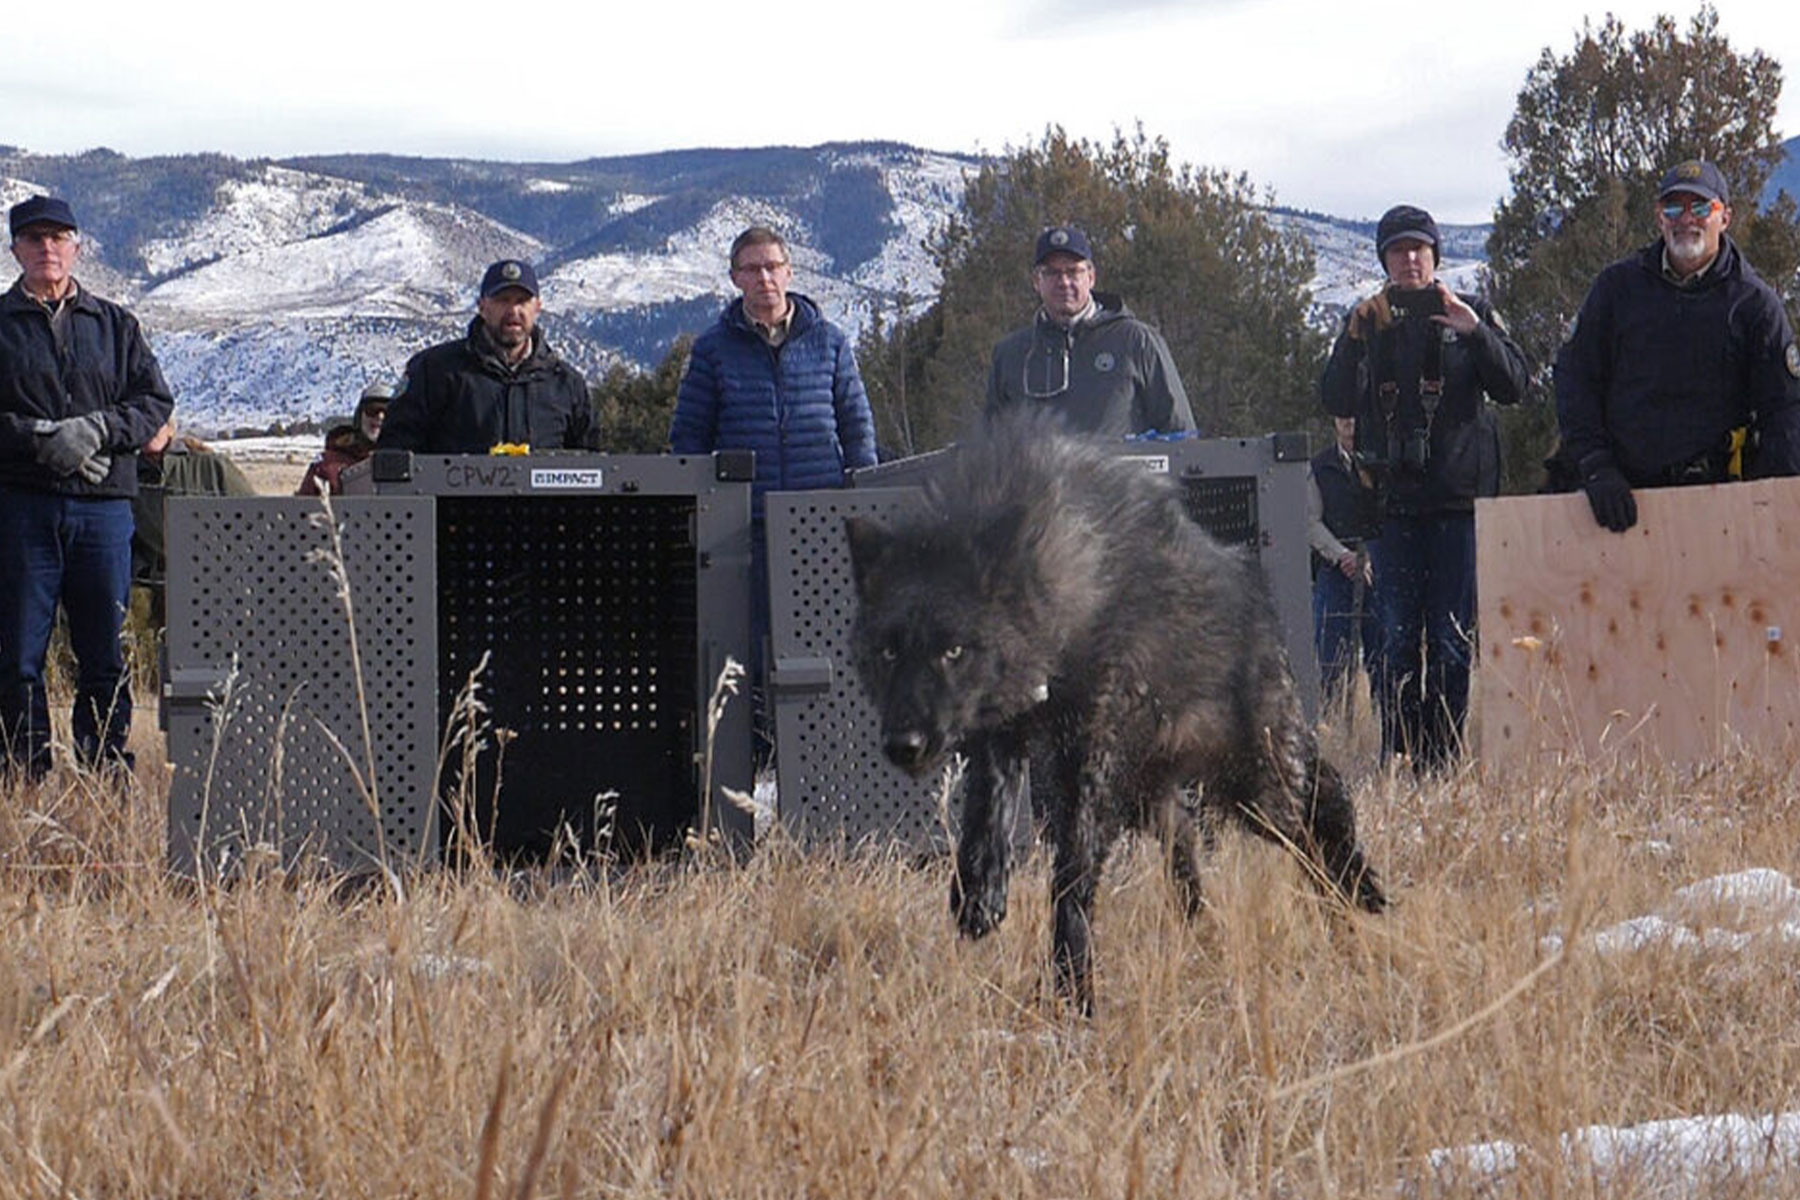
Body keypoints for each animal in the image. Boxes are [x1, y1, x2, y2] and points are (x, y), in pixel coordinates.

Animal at [845, 410, 1386, 1013]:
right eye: (889, 651)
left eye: (954, 650)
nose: (904, 745)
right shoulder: (1002, 736)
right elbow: (987, 817)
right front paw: (980, 894)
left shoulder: (1090, 760)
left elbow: (1072, 875)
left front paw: (1072, 988)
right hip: (1160, 795)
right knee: (1188, 843)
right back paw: (1202, 929)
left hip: (1256, 787)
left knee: (1321, 814)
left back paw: (1355, 897)